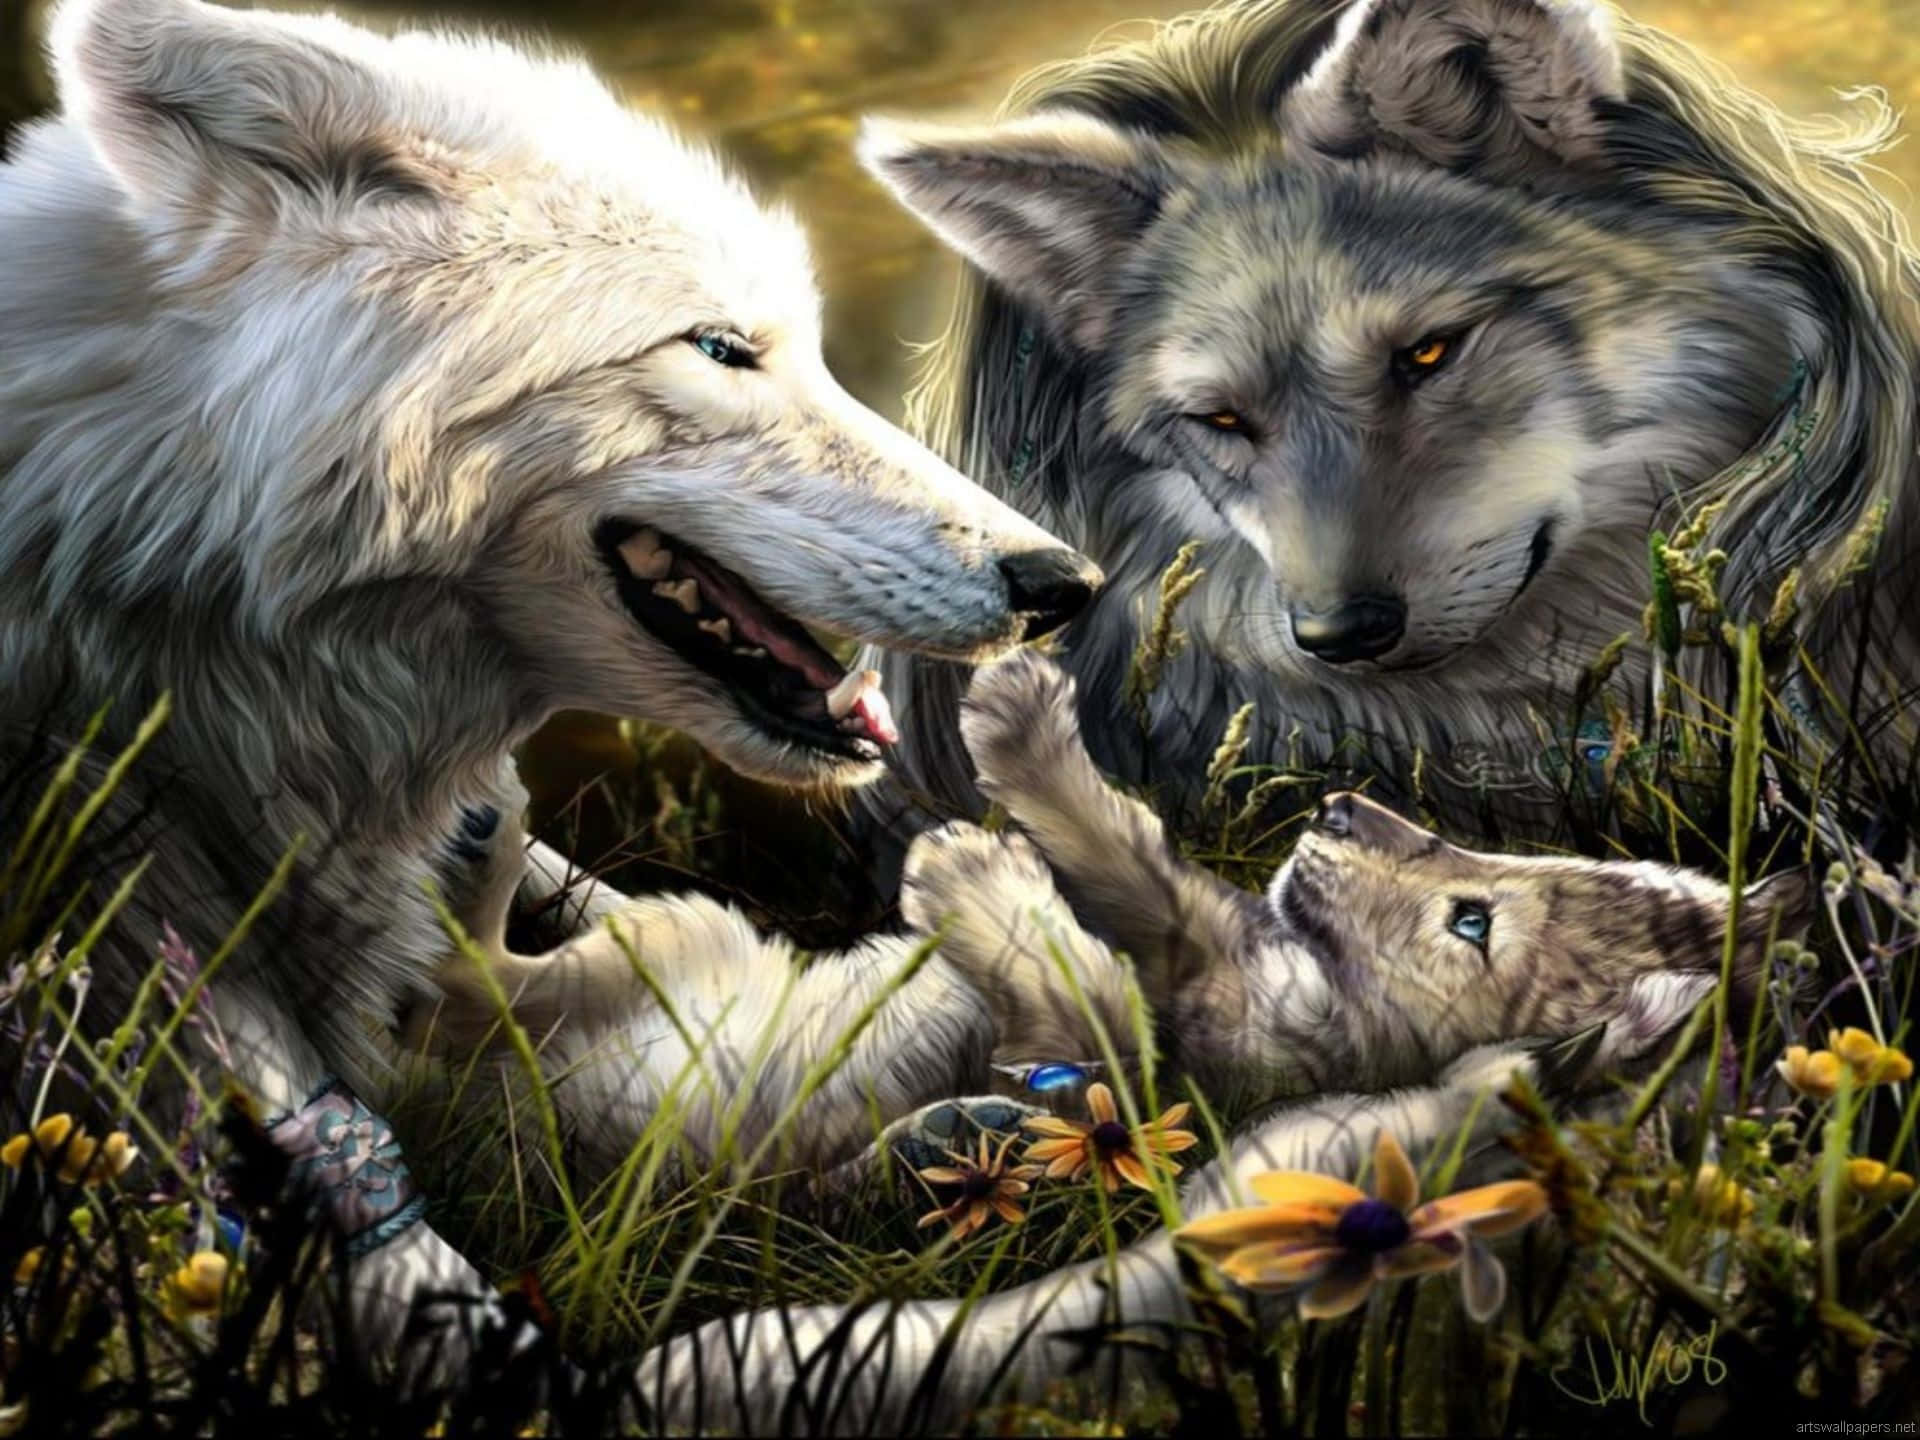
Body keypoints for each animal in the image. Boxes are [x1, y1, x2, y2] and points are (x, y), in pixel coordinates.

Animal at [628, 648, 1811, 1433]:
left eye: (1473, 923)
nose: (1340, 808)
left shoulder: (1174, 1075)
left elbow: (1084, 980)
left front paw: (971, 867)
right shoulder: (1212, 952)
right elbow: (1138, 861)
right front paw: (1019, 717)